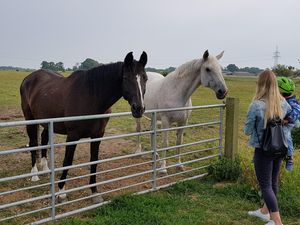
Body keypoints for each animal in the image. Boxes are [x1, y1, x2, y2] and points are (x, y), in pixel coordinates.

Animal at [19, 51, 148, 203]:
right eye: (125, 78)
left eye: (145, 78)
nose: (138, 108)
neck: (91, 97)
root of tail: (28, 78)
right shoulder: (73, 136)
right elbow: (67, 161)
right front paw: (61, 192)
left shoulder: (98, 135)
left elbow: (94, 161)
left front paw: (94, 192)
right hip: (30, 119)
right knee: (33, 143)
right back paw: (34, 174)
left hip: (46, 121)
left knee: (44, 139)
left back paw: (45, 169)